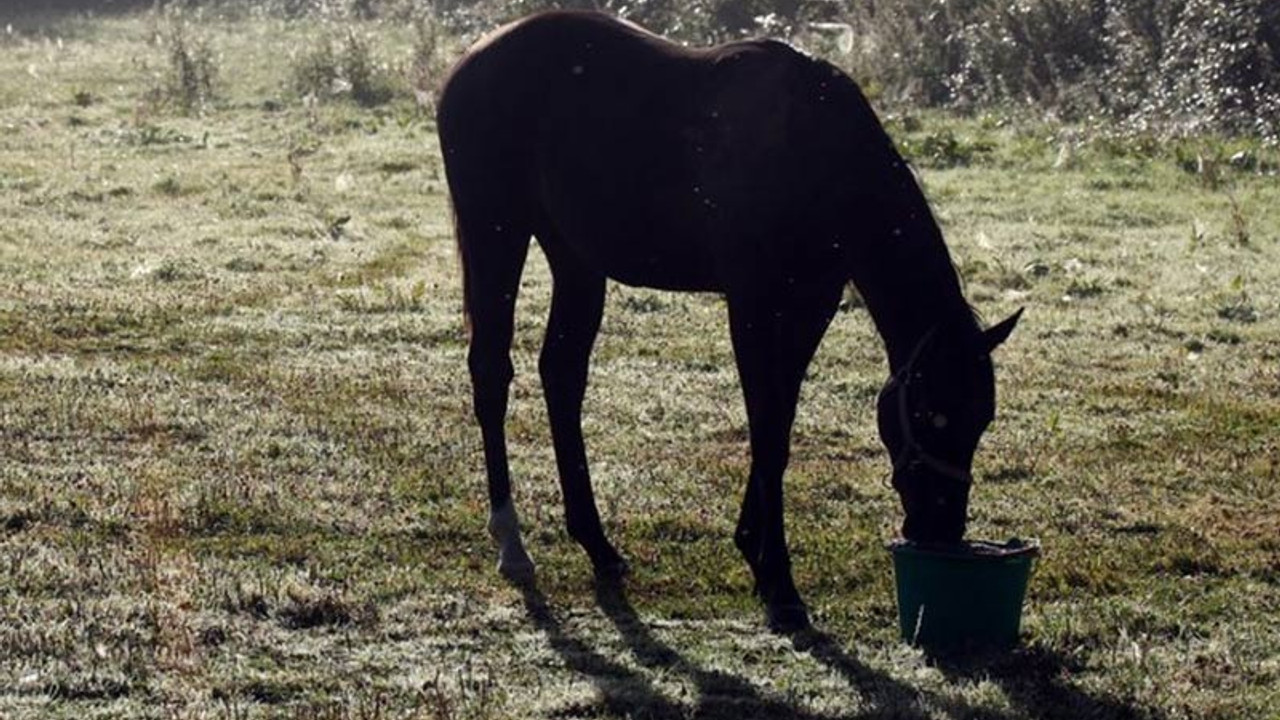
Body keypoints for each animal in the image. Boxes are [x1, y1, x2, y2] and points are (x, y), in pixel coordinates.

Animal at [437, 9, 1018, 627]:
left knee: (562, 375)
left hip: (574, 258)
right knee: (491, 372)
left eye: (982, 419)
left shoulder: (810, 305)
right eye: (933, 415)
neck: (815, 150)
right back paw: (512, 545)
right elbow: (766, 432)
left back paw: (597, 543)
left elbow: (779, 422)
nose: (942, 527)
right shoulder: (752, 303)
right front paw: (780, 583)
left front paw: (755, 554)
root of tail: (471, 60)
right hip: (495, 229)